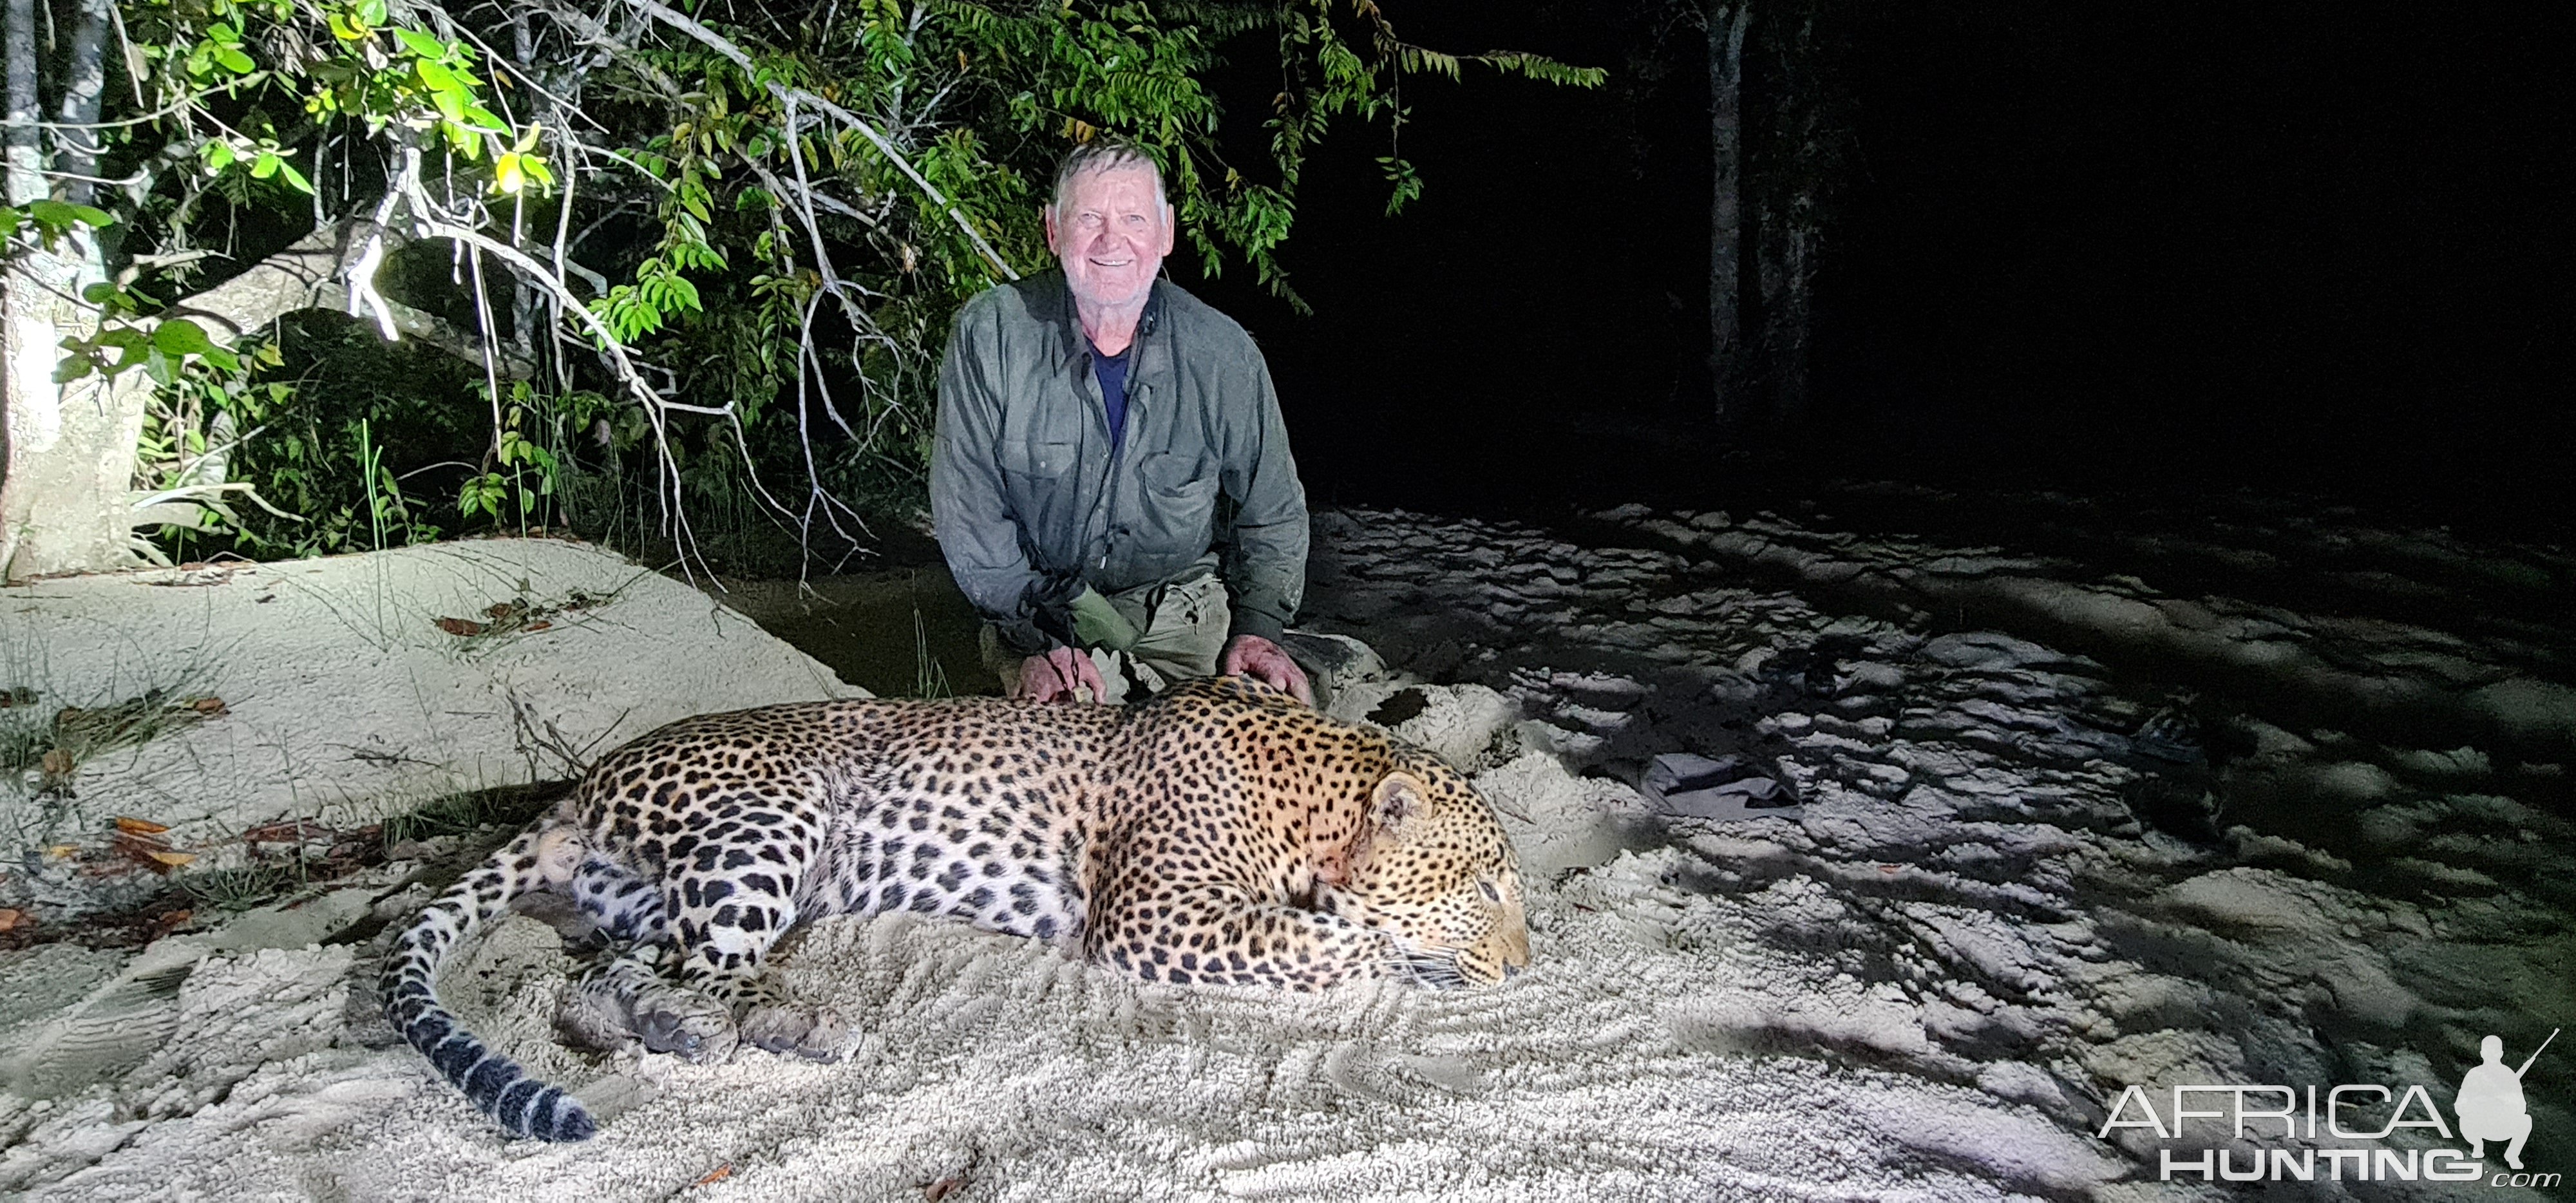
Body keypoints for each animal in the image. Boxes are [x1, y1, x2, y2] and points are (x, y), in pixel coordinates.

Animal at [381, 680, 1525, 1139]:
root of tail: (577, 789)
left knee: (611, 979)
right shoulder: (1153, 913)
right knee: (690, 975)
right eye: (1482, 888)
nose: (1525, 968)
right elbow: (1336, 940)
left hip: (657, 901)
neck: (1311, 796)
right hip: (779, 812)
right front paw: (1391, 943)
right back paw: (796, 1023)